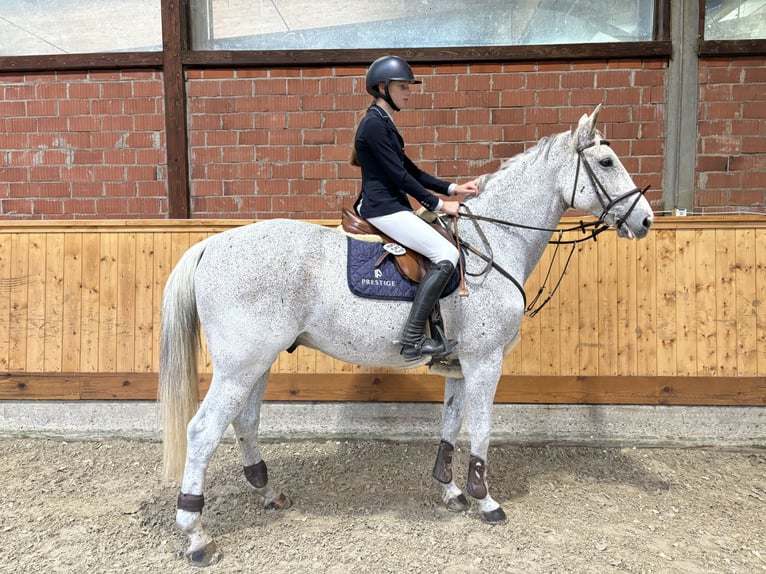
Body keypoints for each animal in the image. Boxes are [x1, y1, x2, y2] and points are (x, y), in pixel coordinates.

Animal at [158, 107, 656, 568]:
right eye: (607, 161)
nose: (647, 221)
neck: (494, 241)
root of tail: (210, 244)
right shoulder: (485, 361)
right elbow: (481, 428)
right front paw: (485, 500)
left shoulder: (460, 365)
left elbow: (451, 424)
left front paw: (451, 490)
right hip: (240, 367)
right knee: (203, 431)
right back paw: (197, 535)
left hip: (258, 362)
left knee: (245, 422)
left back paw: (269, 494)